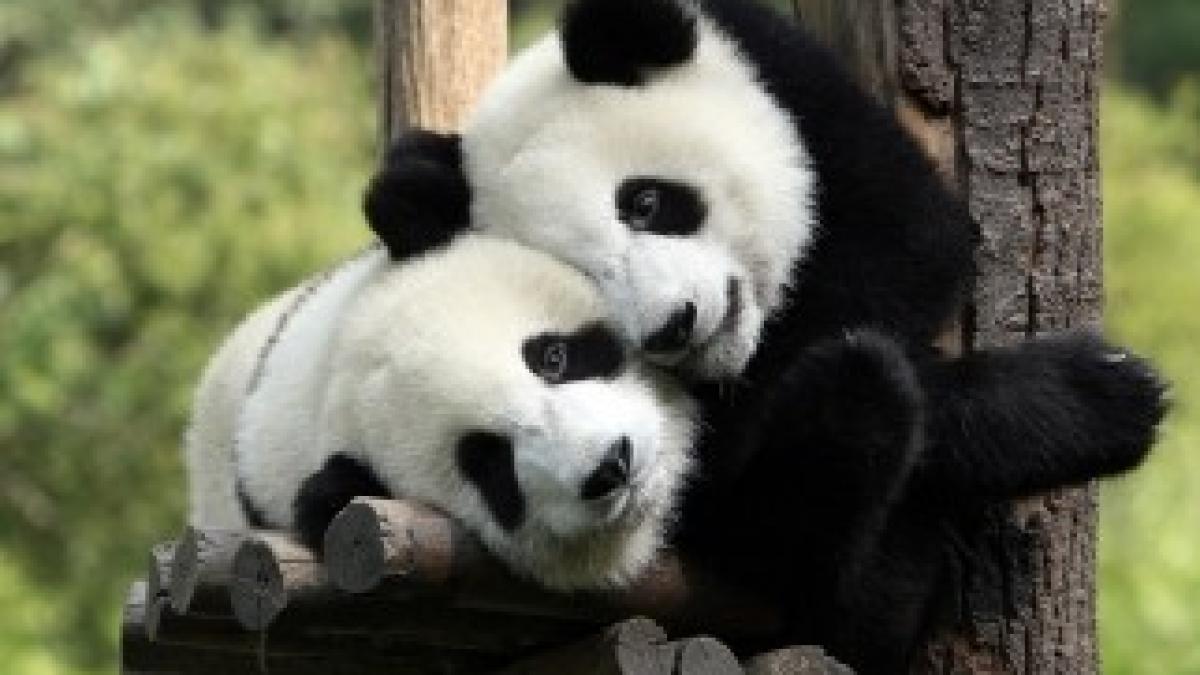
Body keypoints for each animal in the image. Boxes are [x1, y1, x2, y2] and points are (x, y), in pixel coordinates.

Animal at [362, 0, 1169, 670]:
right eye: (586, 276)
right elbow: (726, 470)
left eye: (646, 202)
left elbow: (911, 242)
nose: (674, 325)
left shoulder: (800, 92)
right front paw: (1097, 399)